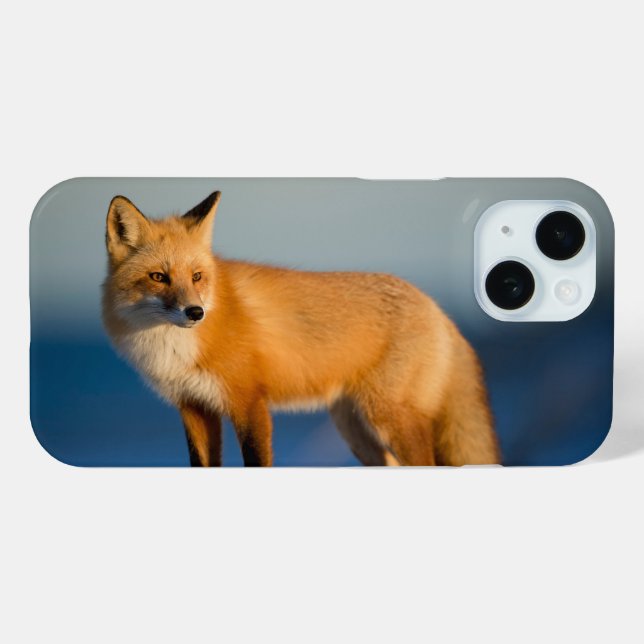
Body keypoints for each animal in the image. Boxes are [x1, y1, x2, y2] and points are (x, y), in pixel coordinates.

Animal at [102, 190, 500, 467]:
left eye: (197, 276)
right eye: (159, 277)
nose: (195, 312)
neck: (174, 348)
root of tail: (436, 306)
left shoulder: (249, 402)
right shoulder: (194, 408)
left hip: (390, 418)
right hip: (357, 431)